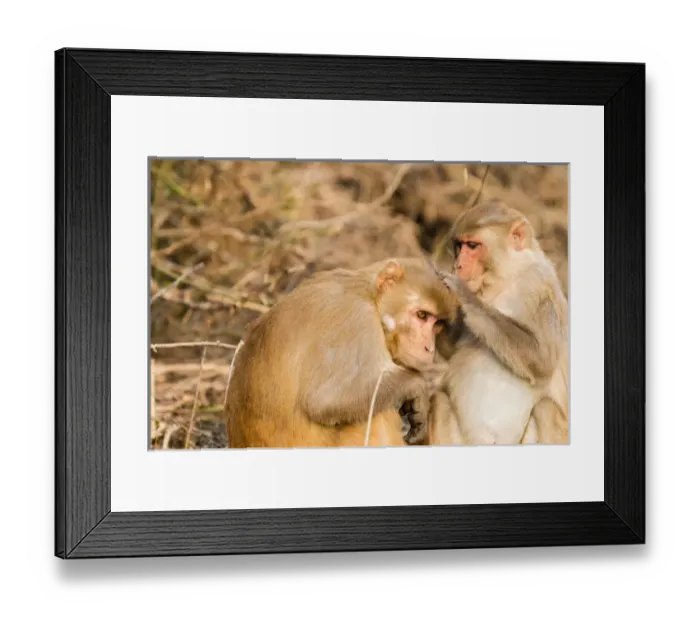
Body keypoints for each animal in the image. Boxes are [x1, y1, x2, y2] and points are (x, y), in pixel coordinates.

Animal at [225, 257, 457, 449]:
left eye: (438, 324)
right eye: (422, 315)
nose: (429, 348)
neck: (368, 295)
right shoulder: (356, 320)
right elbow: (327, 401)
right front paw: (418, 388)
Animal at [427, 199, 569, 446]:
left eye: (472, 245)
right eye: (459, 246)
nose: (458, 265)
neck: (507, 278)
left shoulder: (540, 285)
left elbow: (542, 359)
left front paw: (465, 296)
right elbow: (451, 349)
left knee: (546, 408)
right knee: (439, 401)